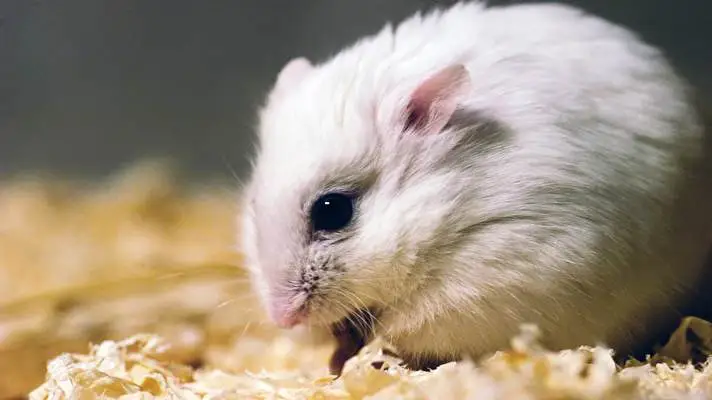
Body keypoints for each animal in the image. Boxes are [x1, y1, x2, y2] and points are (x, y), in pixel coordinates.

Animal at [240, 1, 712, 373]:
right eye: (253, 204)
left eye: (333, 209)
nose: (282, 319)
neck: (452, 202)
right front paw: (339, 356)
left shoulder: (496, 277)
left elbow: (404, 326)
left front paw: (370, 351)